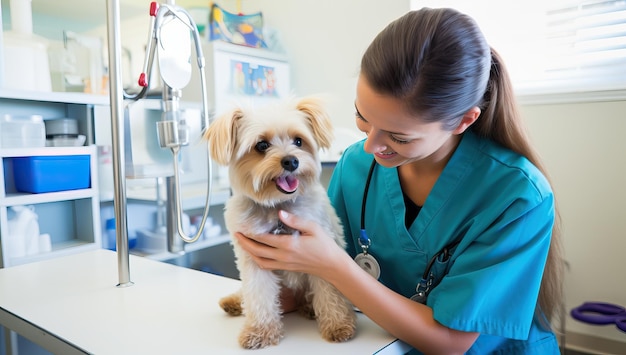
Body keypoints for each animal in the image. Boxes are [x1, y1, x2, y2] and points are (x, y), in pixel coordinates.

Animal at [206, 97, 356, 350]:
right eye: (261, 145)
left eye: (298, 141)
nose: (291, 161)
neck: (277, 206)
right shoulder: (254, 259)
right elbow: (258, 295)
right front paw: (260, 331)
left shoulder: (324, 252)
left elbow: (329, 292)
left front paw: (337, 325)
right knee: (246, 293)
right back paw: (234, 301)